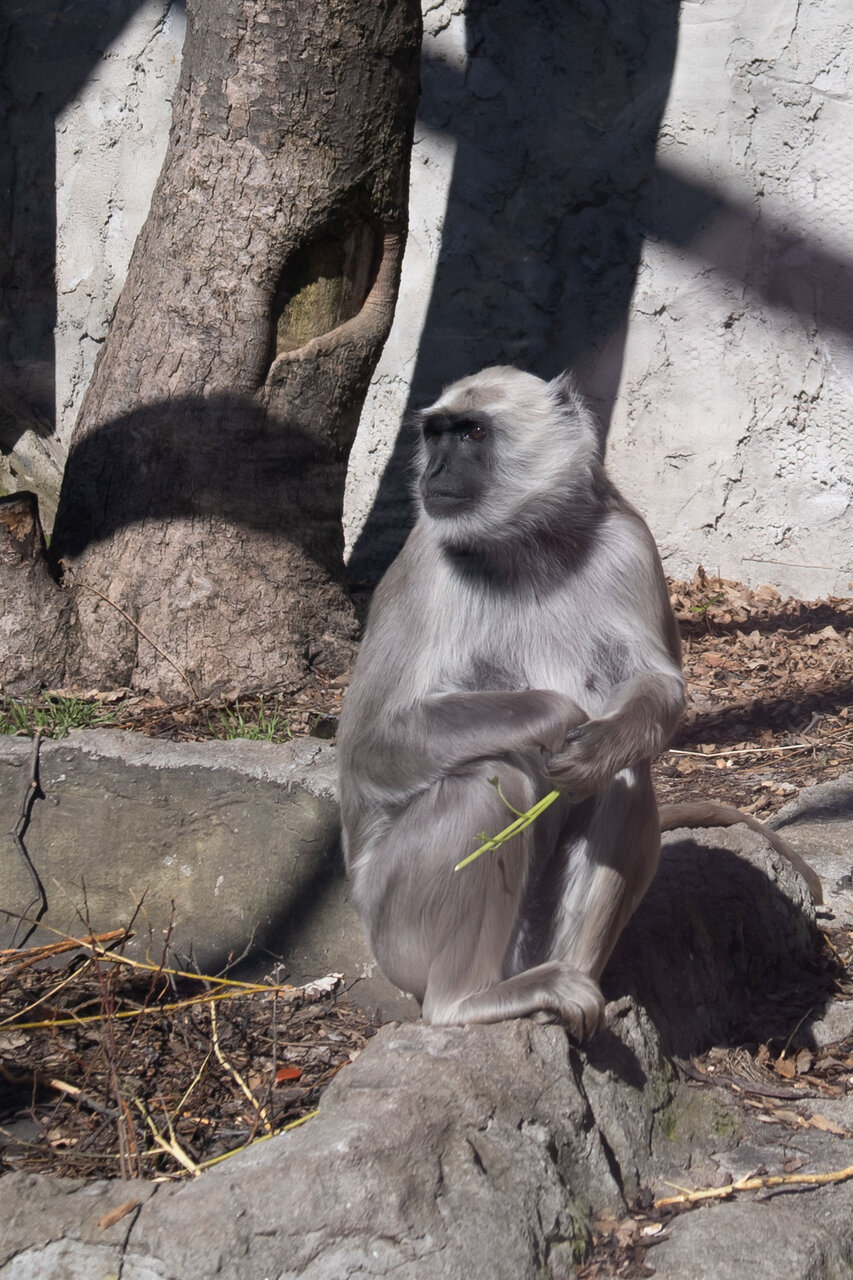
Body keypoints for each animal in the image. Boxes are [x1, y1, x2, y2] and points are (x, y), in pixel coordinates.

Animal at [338, 363, 819, 1039]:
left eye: (472, 433)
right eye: (436, 434)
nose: (435, 471)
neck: (528, 546)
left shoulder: (628, 539)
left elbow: (659, 691)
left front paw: (595, 745)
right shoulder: (427, 559)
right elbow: (369, 746)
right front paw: (555, 714)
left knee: (624, 779)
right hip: (394, 927)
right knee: (487, 782)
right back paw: (466, 1003)